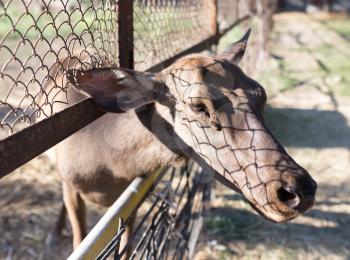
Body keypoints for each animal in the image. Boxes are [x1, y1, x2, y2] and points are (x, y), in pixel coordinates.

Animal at [42, 29, 316, 253]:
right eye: (197, 105)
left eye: (261, 93)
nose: (298, 189)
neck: (111, 169)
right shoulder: (71, 185)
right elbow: (79, 237)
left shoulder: (131, 202)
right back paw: (53, 234)